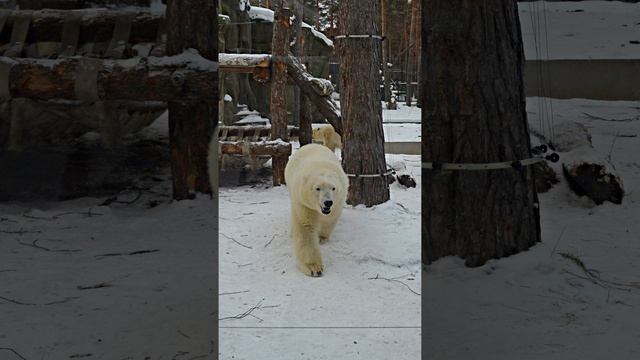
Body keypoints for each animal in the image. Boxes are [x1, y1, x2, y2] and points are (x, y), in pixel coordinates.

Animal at [282, 142, 348, 278]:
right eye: (317, 188)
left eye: (333, 188)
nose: (328, 202)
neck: (320, 166)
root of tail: (311, 144)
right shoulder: (303, 202)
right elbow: (306, 226)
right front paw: (314, 268)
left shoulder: (338, 200)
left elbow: (330, 219)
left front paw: (321, 238)